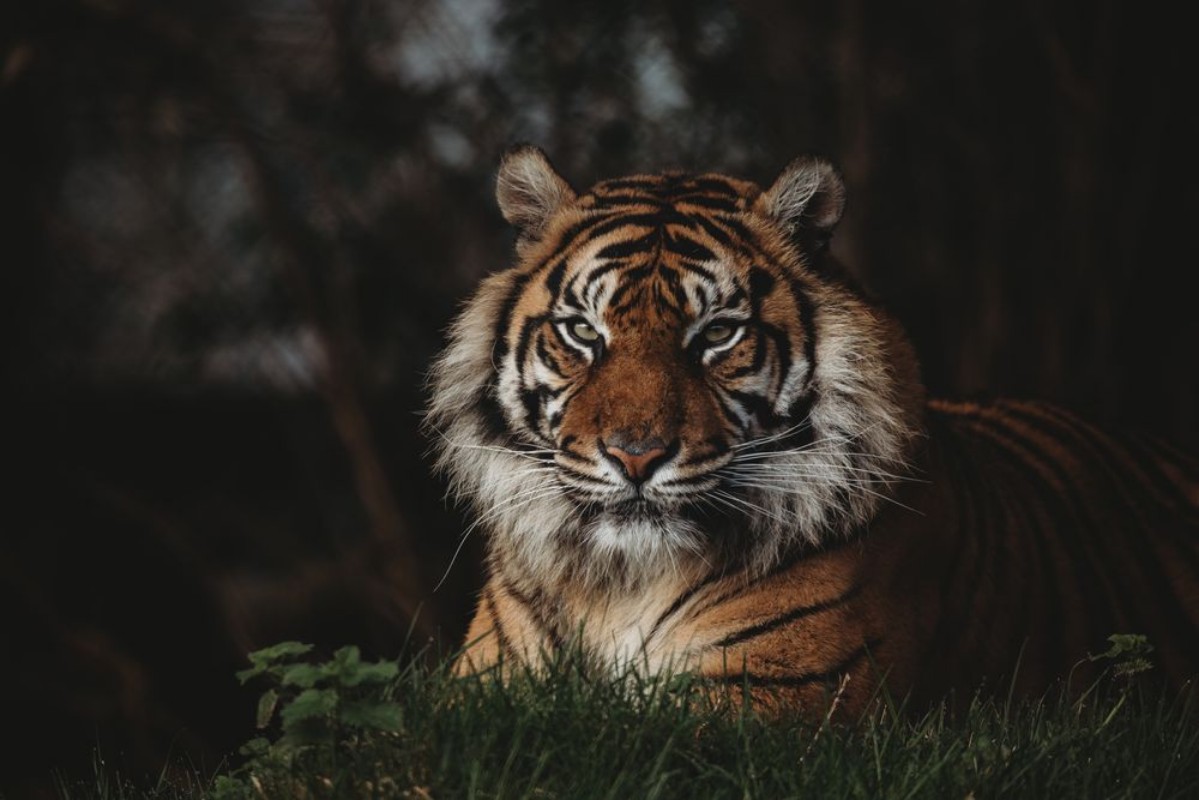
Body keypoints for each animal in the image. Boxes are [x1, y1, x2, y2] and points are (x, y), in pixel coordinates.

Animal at [426, 144, 1199, 715]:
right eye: (583, 332)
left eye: (717, 334)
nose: (635, 456)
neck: (624, 582)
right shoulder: (483, 688)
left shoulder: (768, 697)